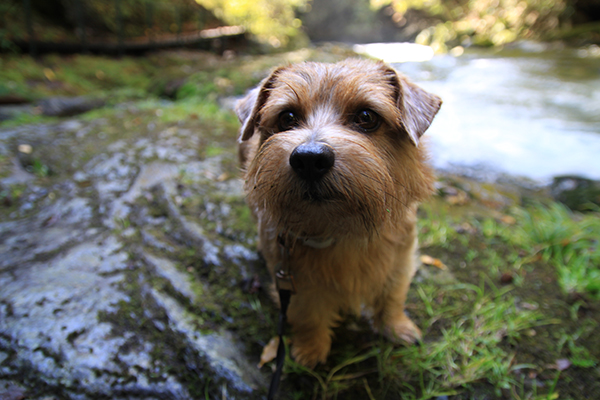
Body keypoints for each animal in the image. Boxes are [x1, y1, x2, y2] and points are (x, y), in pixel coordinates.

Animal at [237, 57, 442, 368]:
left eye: (367, 116)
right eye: (287, 117)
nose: (309, 159)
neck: (342, 229)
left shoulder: (401, 260)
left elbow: (392, 296)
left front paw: (396, 327)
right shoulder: (295, 280)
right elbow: (308, 314)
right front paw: (310, 350)